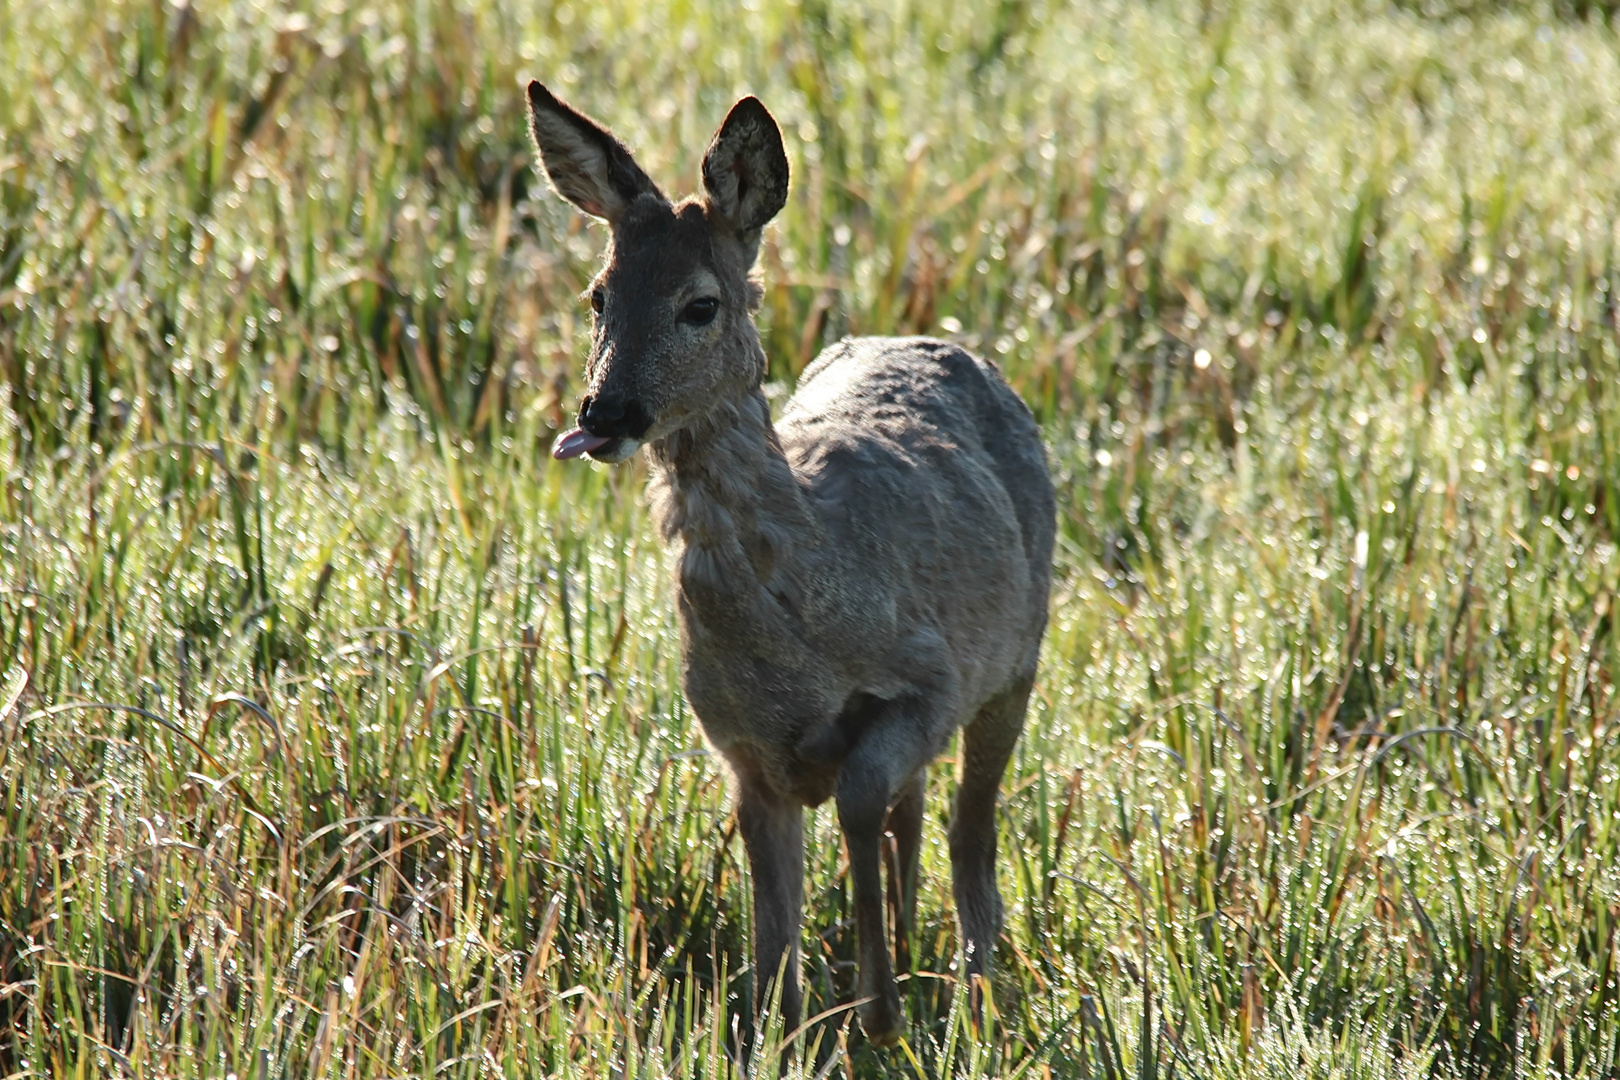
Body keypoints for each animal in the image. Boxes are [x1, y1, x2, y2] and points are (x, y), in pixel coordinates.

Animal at [524, 84, 1056, 1049]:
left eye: (700, 305)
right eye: (597, 296)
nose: (603, 412)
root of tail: (946, 345)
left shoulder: (930, 678)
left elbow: (862, 798)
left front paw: (879, 1012)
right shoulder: (741, 752)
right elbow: (773, 941)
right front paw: (798, 1024)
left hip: (1018, 662)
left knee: (972, 828)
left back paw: (973, 981)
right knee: (921, 810)